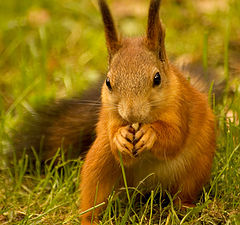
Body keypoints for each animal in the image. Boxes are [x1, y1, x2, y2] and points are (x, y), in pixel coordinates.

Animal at [80, 0, 216, 224]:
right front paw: (119, 137)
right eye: (108, 82)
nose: (132, 115)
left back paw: (184, 209)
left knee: (185, 191)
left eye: (157, 78)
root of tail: (146, 187)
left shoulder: (180, 107)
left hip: (198, 163)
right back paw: (88, 219)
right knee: (93, 195)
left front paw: (151, 133)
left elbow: (175, 138)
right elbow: (116, 141)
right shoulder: (110, 116)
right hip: (98, 163)